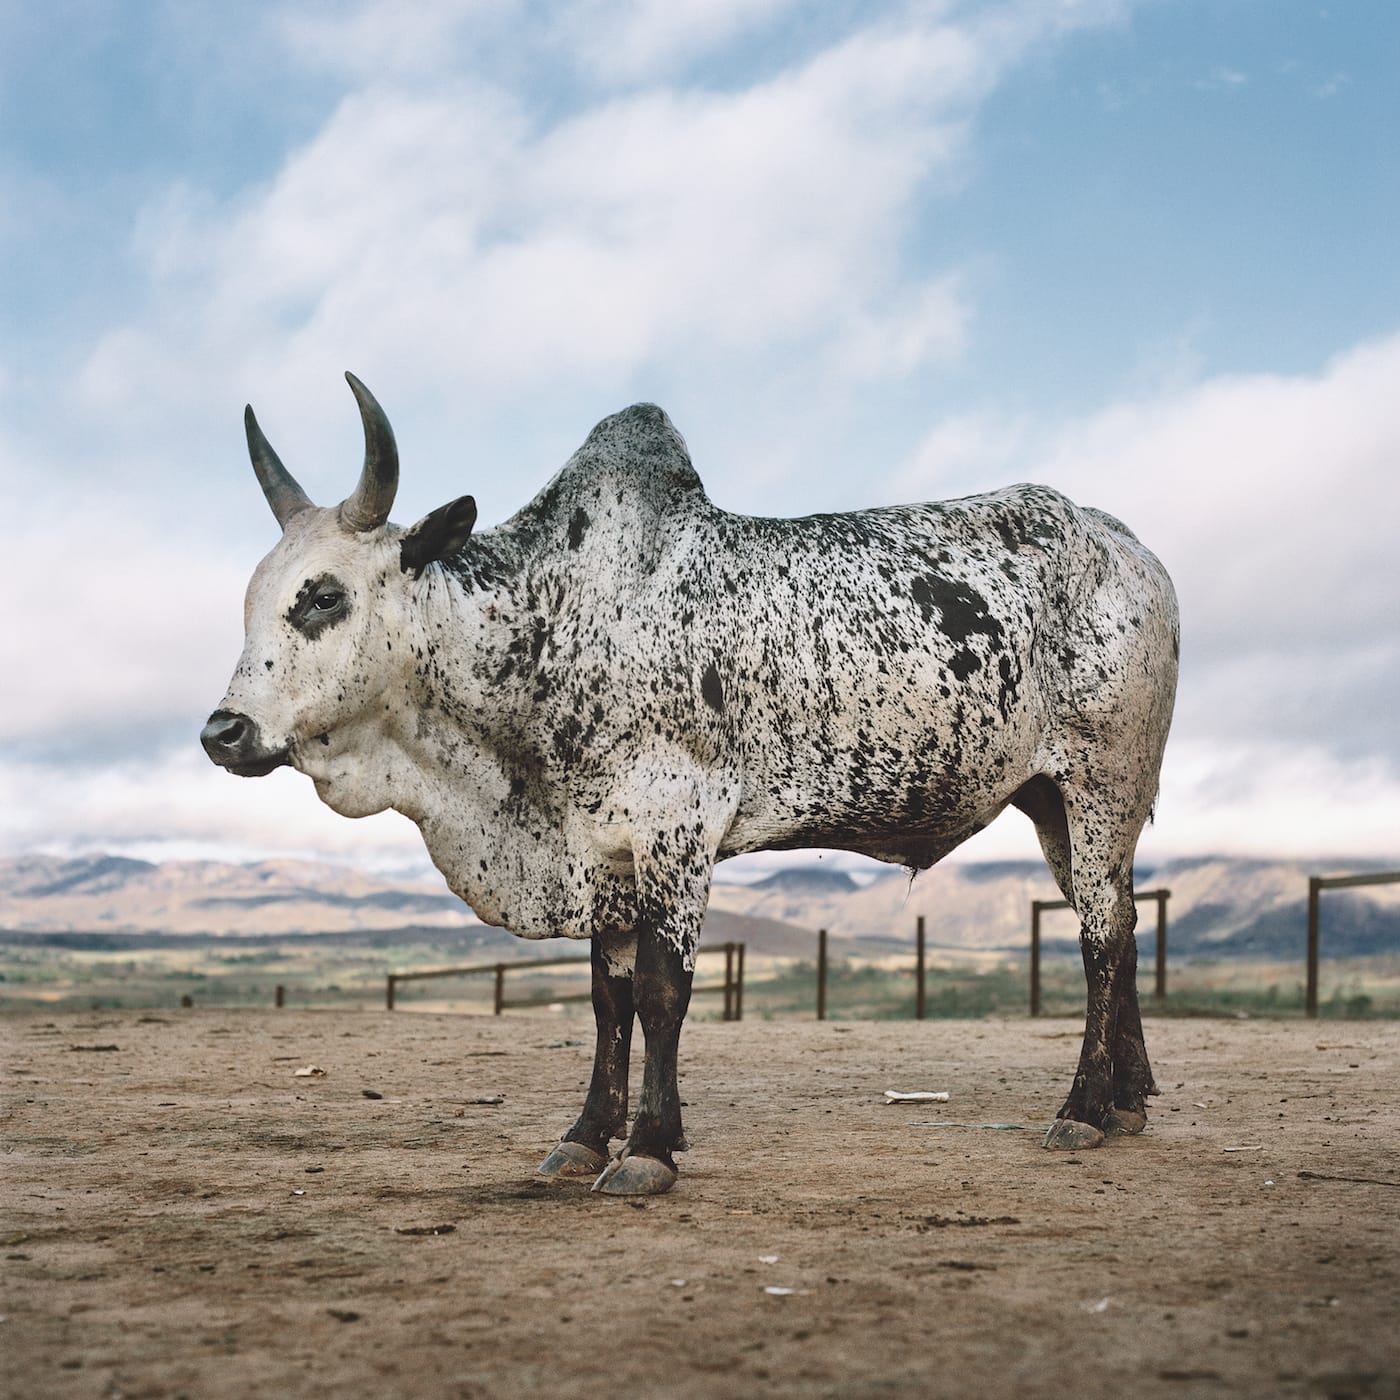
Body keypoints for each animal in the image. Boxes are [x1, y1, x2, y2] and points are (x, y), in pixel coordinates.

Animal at [202, 373, 1179, 1196]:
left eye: (323, 595)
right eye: (250, 600)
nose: (222, 732)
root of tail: (1128, 545)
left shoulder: (676, 833)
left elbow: (664, 992)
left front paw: (648, 1149)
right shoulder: (602, 853)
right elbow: (609, 1000)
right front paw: (585, 1136)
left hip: (1104, 784)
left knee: (1101, 937)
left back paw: (1083, 1109)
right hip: (1055, 805)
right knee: (1126, 928)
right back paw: (1129, 1101)